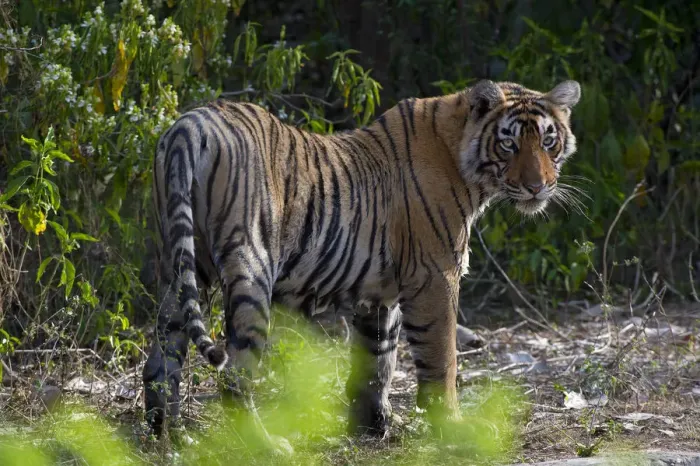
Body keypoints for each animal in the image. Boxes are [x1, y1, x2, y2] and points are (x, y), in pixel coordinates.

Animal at [142, 79, 581, 443]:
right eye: (509, 144)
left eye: (548, 141)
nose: (538, 187)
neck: (461, 156)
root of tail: (190, 125)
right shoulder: (436, 277)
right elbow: (442, 358)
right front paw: (452, 425)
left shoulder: (380, 294)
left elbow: (378, 361)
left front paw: (376, 425)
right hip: (251, 268)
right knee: (234, 376)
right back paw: (264, 443)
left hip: (180, 265)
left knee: (161, 359)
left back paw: (171, 436)